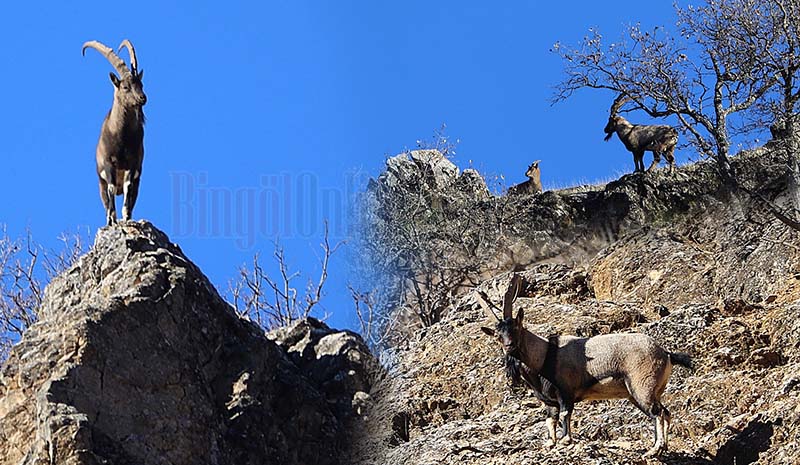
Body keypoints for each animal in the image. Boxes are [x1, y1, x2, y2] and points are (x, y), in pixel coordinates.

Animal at [83, 40, 148, 225]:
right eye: (125, 86)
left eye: (140, 84)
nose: (143, 98)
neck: (122, 137)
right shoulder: (108, 163)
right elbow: (111, 190)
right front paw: (112, 219)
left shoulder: (132, 164)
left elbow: (128, 188)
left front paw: (126, 217)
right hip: (100, 183)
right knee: (106, 196)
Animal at [478, 276, 692, 456]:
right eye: (497, 335)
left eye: (515, 327)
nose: (509, 346)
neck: (544, 356)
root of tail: (666, 354)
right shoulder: (549, 402)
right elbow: (550, 420)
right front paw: (550, 443)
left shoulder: (565, 392)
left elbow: (565, 415)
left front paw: (565, 440)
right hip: (645, 393)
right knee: (665, 412)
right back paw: (663, 447)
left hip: (641, 387)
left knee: (657, 413)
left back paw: (654, 449)